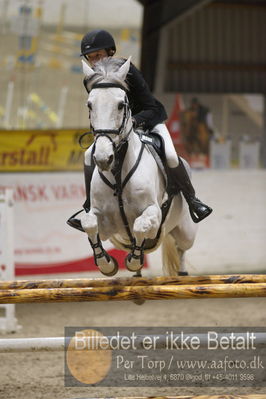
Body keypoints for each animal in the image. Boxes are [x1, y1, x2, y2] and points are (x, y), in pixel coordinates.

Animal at [79, 57, 197, 278]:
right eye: (89, 105)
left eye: (120, 105)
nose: (103, 158)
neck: (118, 171)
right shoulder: (105, 223)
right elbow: (89, 224)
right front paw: (106, 263)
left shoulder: (154, 213)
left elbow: (140, 227)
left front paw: (133, 260)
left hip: (186, 231)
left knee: (181, 248)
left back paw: (182, 273)